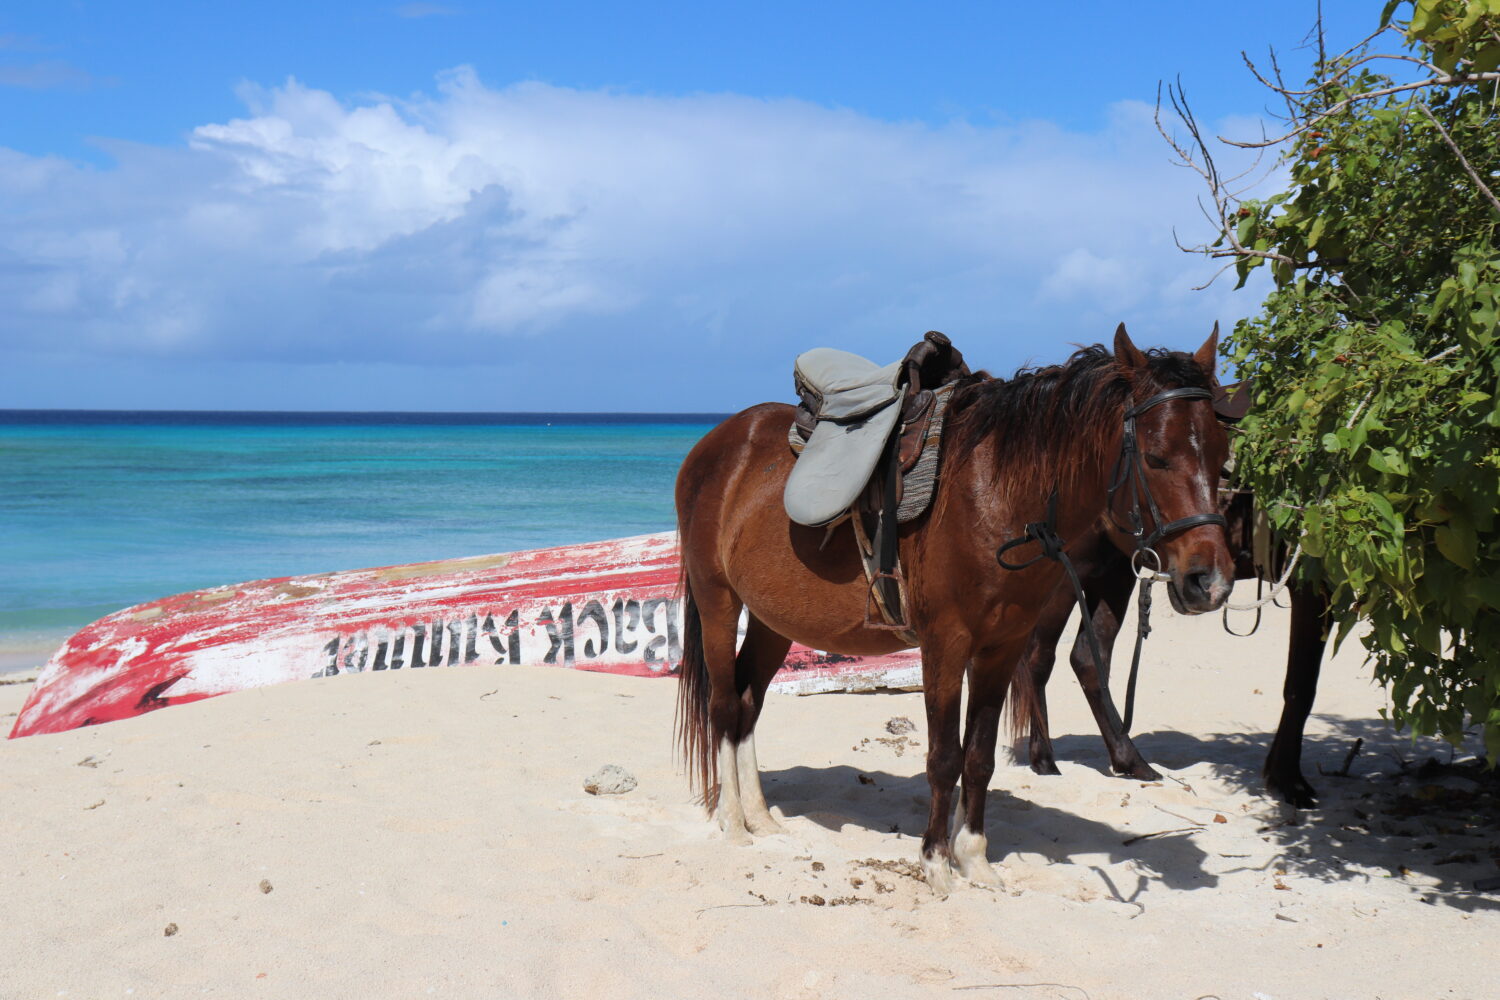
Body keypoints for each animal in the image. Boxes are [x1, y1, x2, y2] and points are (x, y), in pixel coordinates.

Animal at [678, 326, 1230, 893]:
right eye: (1156, 456)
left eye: (1221, 454)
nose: (1208, 582)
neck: (997, 493)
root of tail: (717, 444)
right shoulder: (945, 644)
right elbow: (944, 758)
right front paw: (936, 863)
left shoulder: (1002, 647)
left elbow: (980, 758)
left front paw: (975, 860)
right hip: (718, 600)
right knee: (724, 705)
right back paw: (733, 823)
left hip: (772, 621)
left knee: (748, 702)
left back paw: (761, 817)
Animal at [1014, 482, 1332, 803]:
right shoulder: (1311, 586)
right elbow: (1301, 688)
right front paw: (1289, 781)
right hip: (1065, 575)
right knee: (1039, 658)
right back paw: (1046, 761)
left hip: (1112, 569)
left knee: (1088, 659)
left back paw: (1130, 762)